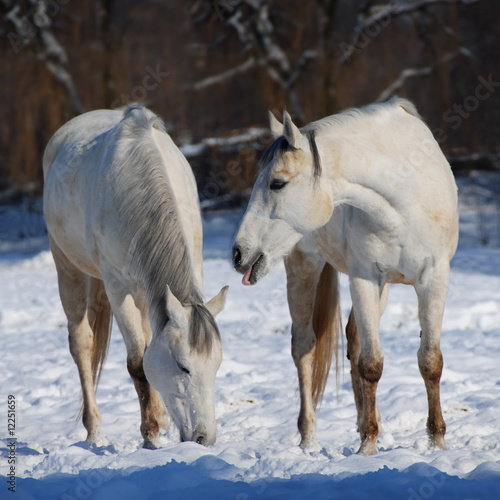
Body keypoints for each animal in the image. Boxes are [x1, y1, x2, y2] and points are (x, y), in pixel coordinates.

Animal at [44, 105, 228, 450]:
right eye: (183, 366)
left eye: (216, 366)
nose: (203, 438)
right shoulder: (118, 289)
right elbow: (136, 363)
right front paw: (151, 434)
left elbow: (146, 352)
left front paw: (158, 425)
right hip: (68, 267)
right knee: (82, 344)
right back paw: (94, 432)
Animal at [232, 98, 458, 458]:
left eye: (277, 183)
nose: (239, 253)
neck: (404, 199)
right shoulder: (365, 278)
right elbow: (372, 364)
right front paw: (368, 447)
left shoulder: (433, 280)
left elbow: (430, 361)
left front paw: (436, 442)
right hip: (304, 270)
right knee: (304, 347)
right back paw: (309, 439)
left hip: (382, 289)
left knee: (353, 338)